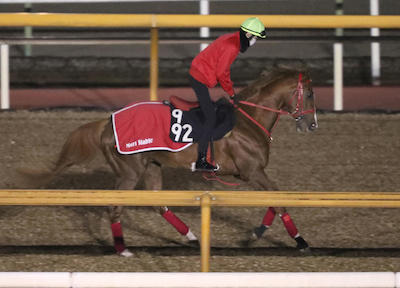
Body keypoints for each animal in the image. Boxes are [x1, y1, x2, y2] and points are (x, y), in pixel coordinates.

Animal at [26, 67, 318, 256]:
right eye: (310, 94)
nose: (311, 124)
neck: (248, 120)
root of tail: (107, 123)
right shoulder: (252, 171)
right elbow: (279, 200)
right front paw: (300, 241)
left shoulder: (251, 173)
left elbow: (274, 201)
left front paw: (255, 234)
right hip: (130, 172)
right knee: (115, 205)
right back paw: (123, 249)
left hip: (151, 166)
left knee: (158, 204)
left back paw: (191, 237)